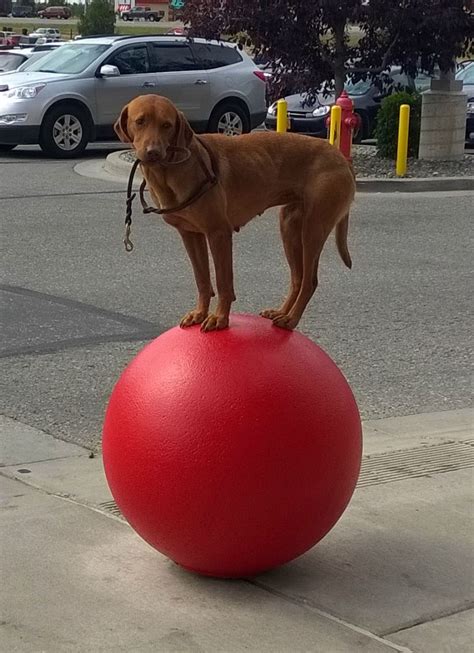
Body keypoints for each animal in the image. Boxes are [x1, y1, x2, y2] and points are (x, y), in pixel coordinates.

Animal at [116, 95, 356, 332]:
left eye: (167, 125)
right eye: (140, 121)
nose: (153, 153)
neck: (170, 171)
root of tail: (340, 157)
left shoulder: (219, 233)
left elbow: (223, 283)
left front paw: (219, 318)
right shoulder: (190, 234)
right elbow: (202, 280)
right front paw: (199, 313)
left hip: (314, 227)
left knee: (310, 281)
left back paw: (291, 320)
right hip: (289, 225)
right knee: (297, 278)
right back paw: (281, 312)